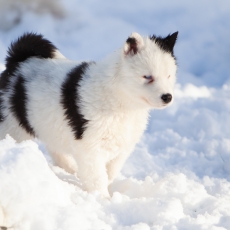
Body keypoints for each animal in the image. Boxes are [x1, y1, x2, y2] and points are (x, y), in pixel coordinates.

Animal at [0, 32, 178, 197]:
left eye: (169, 76)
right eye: (147, 77)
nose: (167, 97)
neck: (120, 98)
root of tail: (19, 62)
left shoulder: (123, 146)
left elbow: (110, 173)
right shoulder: (90, 147)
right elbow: (97, 177)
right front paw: (103, 200)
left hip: (49, 126)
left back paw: (71, 169)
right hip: (12, 127)